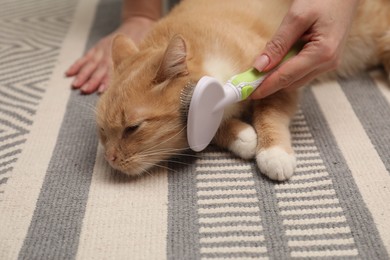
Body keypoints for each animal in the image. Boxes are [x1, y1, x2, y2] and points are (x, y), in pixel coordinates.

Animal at [96, 0, 390, 181]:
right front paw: (242, 136)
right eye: (102, 130)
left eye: (132, 128)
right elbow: (214, 125)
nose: (110, 158)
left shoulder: (282, 79)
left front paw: (273, 153)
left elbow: (268, 113)